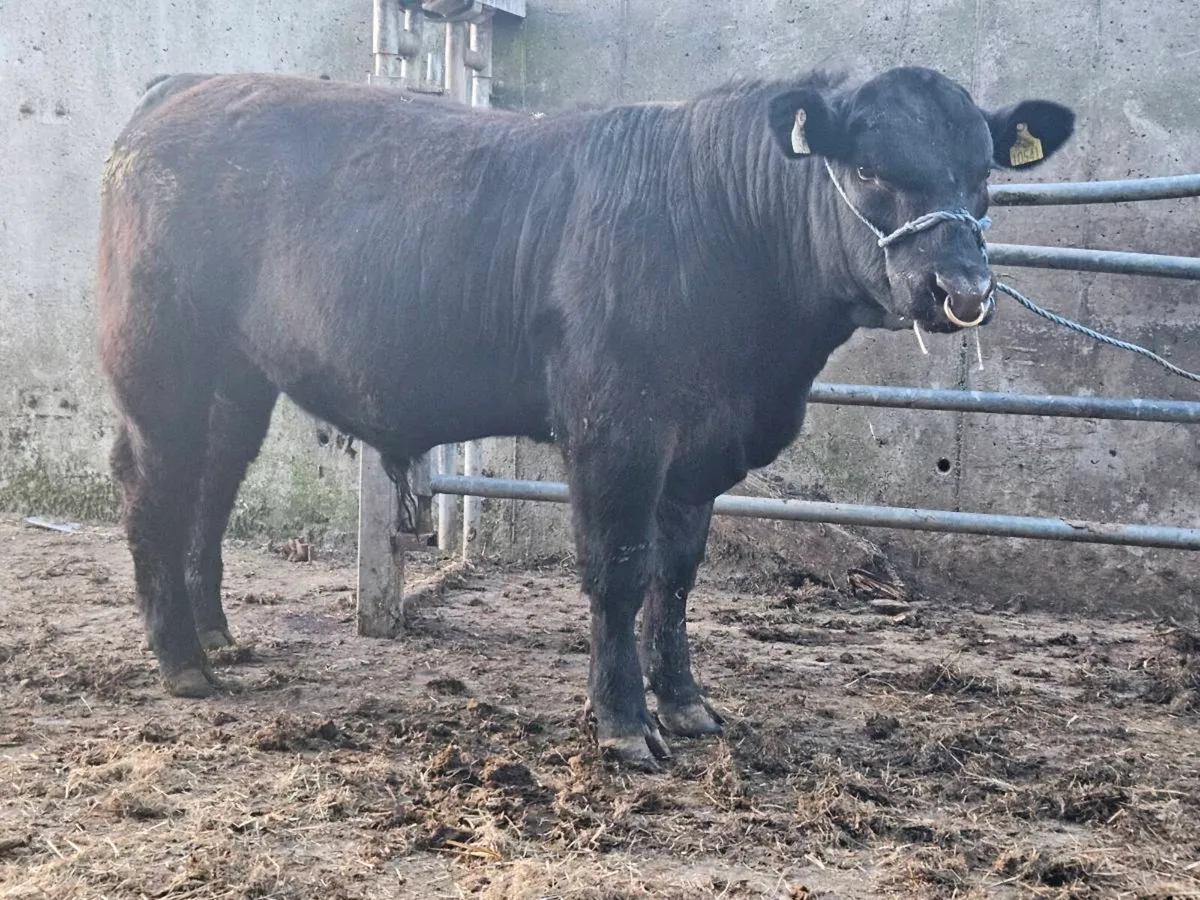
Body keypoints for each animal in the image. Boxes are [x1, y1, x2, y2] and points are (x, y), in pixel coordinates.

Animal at [97, 66, 1074, 768]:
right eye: (868, 171)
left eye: (981, 176)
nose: (962, 291)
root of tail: (183, 88)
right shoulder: (618, 430)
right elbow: (621, 570)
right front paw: (624, 723)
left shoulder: (699, 453)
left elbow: (676, 577)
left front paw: (686, 703)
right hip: (161, 357)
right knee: (152, 486)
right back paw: (182, 663)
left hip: (236, 378)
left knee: (212, 485)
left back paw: (217, 635)